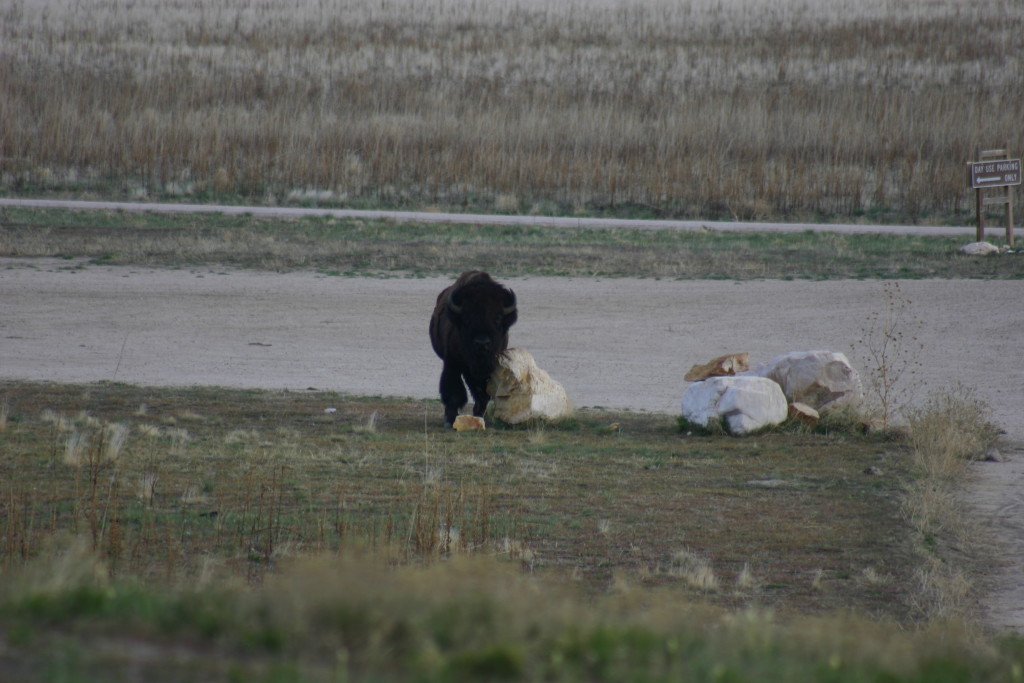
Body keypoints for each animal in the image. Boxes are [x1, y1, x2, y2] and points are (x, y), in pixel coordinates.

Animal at [428, 270, 516, 428]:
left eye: (498, 318)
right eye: (467, 319)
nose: (482, 343)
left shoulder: (489, 367)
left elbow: (482, 392)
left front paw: (479, 415)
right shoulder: (453, 363)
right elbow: (454, 391)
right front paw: (450, 419)